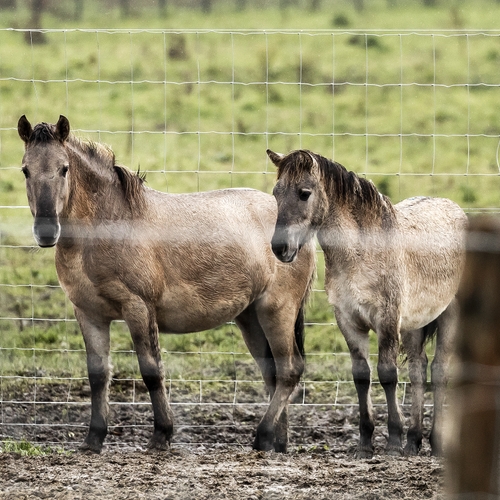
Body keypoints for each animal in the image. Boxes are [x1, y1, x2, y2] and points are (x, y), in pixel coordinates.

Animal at [18, 116, 316, 454]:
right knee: (273, 372)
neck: (108, 226)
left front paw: (161, 434)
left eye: (64, 168)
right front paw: (93, 439)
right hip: (250, 316)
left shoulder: (138, 308)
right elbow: (98, 375)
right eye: (26, 169)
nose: (46, 231)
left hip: (277, 310)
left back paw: (262, 436)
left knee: (289, 370)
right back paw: (276, 442)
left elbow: (151, 371)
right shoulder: (89, 313)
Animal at [268, 147, 466, 458]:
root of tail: (456, 209)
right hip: (413, 324)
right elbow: (361, 376)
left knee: (438, 370)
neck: (362, 253)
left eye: (304, 193)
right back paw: (414, 441)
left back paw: (434, 443)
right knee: (418, 370)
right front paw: (365, 443)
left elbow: (387, 374)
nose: (280, 248)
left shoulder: (387, 319)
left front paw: (393, 440)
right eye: (276, 193)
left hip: (449, 315)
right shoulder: (349, 320)